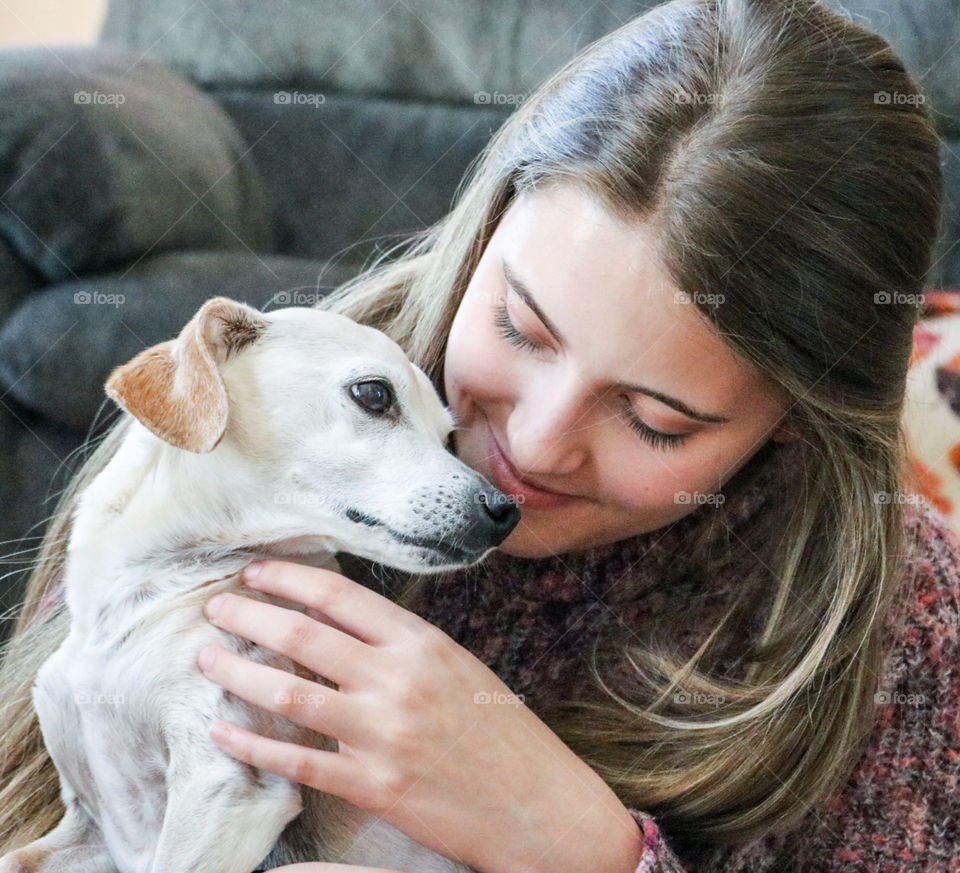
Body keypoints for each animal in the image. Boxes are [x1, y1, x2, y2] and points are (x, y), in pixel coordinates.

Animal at [1, 298, 516, 872]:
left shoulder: (225, 786)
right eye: (374, 394)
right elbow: (15, 858)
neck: (137, 602)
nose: (505, 512)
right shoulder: (89, 827)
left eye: (448, 436)